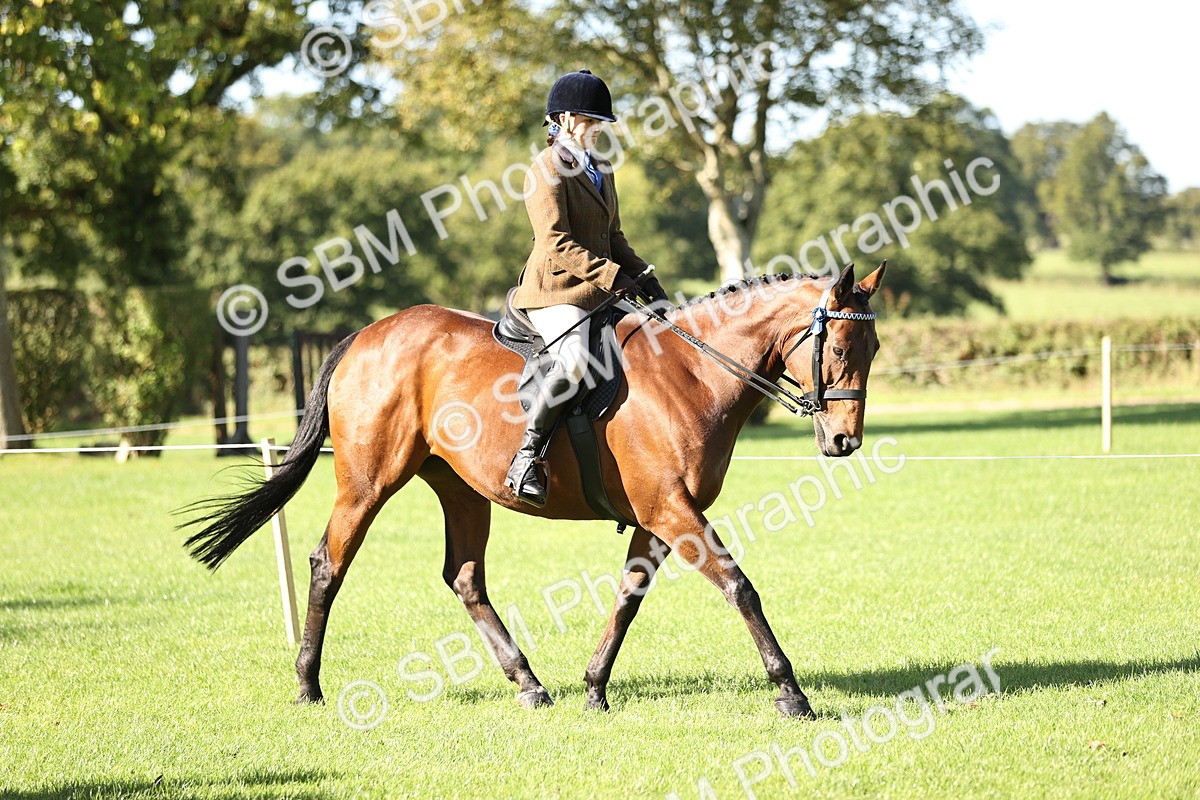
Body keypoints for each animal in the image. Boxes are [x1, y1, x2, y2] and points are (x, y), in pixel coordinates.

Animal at [181, 261, 886, 718]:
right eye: (841, 348)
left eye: (874, 347)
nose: (844, 441)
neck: (691, 372)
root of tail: (367, 334)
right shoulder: (672, 511)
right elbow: (741, 587)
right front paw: (791, 694)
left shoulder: (659, 518)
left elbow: (627, 598)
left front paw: (594, 688)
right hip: (368, 481)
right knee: (329, 563)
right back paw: (308, 686)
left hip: (461, 489)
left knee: (464, 578)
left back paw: (529, 684)